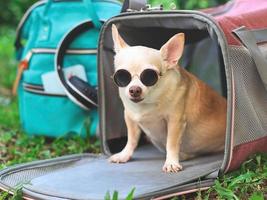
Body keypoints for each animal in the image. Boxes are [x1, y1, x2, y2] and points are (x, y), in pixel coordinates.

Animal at [109, 24, 226, 172]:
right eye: (122, 76)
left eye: (150, 76)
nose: (134, 89)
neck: (148, 104)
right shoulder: (130, 118)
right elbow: (131, 140)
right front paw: (124, 155)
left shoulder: (175, 122)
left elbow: (171, 143)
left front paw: (171, 162)